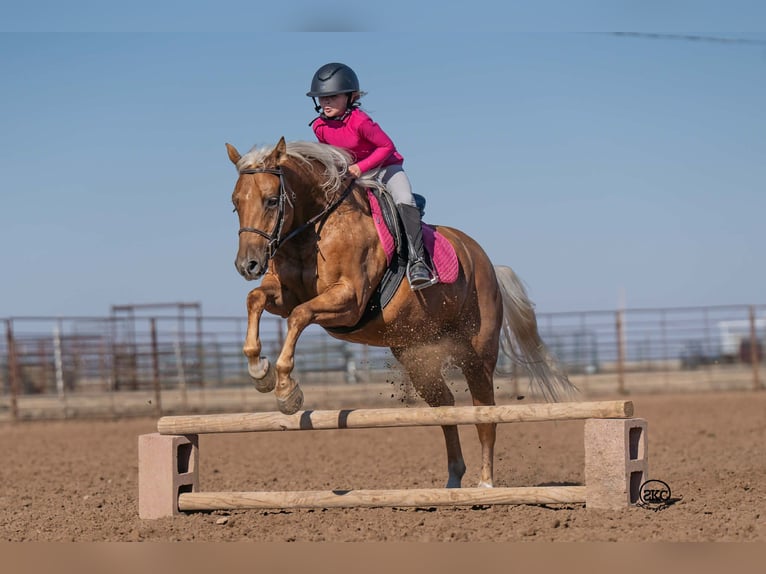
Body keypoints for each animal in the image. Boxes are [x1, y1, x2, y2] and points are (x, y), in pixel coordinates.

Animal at [226, 137, 577, 488]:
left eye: (272, 201)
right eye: (235, 203)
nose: (247, 265)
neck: (314, 230)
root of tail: (486, 263)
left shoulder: (348, 301)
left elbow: (299, 315)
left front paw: (287, 392)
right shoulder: (284, 295)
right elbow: (256, 300)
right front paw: (260, 371)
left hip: (476, 354)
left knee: (484, 414)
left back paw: (485, 484)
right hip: (417, 354)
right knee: (446, 407)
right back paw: (453, 481)